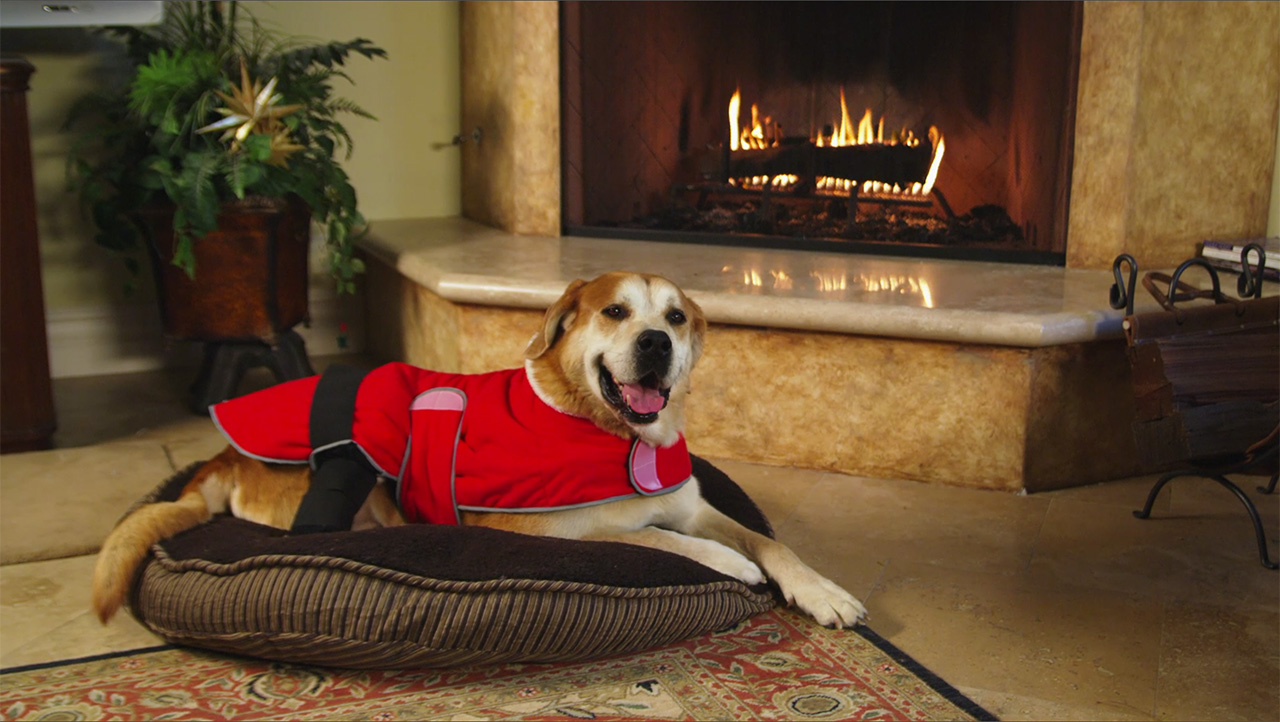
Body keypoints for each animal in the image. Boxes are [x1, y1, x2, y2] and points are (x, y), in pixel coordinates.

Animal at [92, 271, 870, 627]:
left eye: (676, 318)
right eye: (615, 311)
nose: (656, 343)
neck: (619, 437)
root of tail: (219, 460)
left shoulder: (691, 505)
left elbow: (769, 541)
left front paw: (820, 590)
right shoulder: (556, 532)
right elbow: (656, 541)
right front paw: (728, 565)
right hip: (355, 482)